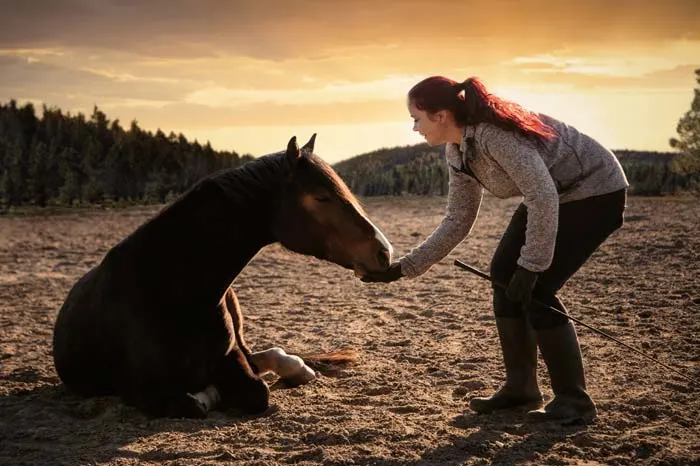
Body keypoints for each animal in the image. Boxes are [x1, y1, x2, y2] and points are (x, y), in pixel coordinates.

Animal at [53, 134, 394, 418]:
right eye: (321, 197)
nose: (384, 251)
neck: (169, 285)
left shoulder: (231, 359)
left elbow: (257, 390)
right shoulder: (137, 389)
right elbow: (193, 403)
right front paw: (207, 394)